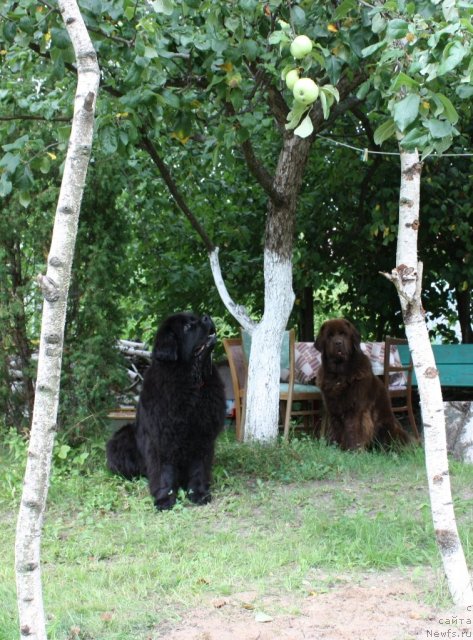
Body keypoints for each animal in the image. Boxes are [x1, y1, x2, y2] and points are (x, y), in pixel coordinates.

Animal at [107, 312, 225, 510]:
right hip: (122, 438)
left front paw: (199, 493)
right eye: (187, 327)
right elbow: (164, 472)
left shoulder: (203, 437)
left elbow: (199, 469)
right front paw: (164, 499)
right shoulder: (161, 438)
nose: (207, 317)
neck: (190, 384)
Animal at [314, 318, 410, 450]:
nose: (338, 343)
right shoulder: (334, 410)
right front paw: (336, 448)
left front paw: (354, 450)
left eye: (344, 334)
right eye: (330, 336)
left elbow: (355, 430)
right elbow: (336, 430)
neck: (339, 374)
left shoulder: (357, 410)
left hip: (387, 427)